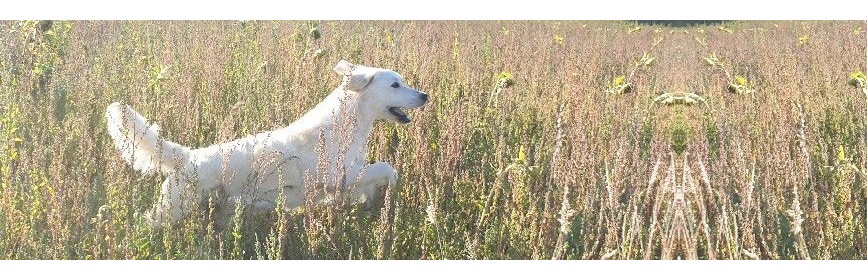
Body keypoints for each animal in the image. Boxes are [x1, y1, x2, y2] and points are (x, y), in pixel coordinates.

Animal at [106, 59, 430, 228]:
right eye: (395, 85)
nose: (425, 95)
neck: (345, 126)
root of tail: (188, 156)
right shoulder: (341, 176)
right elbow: (388, 168)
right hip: (172, 208)